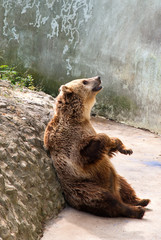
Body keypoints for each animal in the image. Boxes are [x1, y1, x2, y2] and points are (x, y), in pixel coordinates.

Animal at [43, 77, 150, 219]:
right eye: (84, 81)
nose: (98, 77)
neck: (78, 117)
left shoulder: (87, 129)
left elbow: (108, 149)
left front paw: (125, 149)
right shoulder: (71, 142)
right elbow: (89, 150)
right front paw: (108, 139)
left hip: (116, 179)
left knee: (125, 186)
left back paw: (141, 200)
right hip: (85, 186)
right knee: (107, 200)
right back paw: (137, 210)